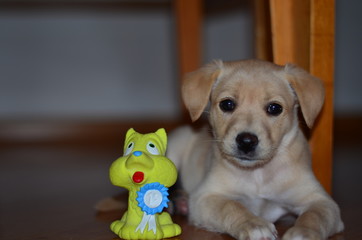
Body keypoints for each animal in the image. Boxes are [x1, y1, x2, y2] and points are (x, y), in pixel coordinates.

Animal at [167, 59, 342, 239]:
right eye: (227, 104)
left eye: (275, 108)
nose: (246, 141)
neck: (258, 174)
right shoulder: (205, 196)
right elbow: (231, 207)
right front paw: (254, 225)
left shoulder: (321, 201)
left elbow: (314, 216)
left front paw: (304, 233)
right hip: (174, 147)